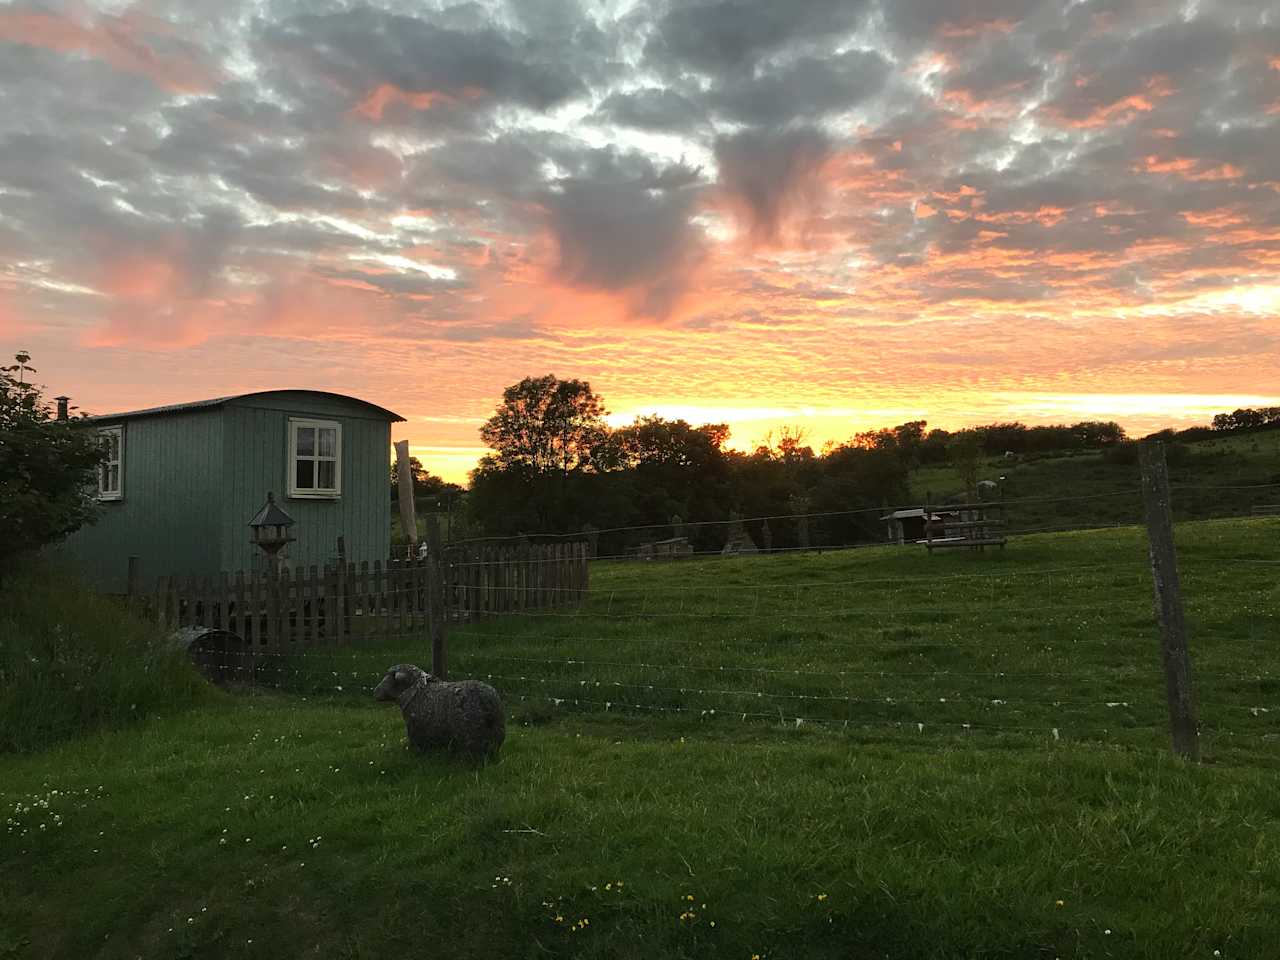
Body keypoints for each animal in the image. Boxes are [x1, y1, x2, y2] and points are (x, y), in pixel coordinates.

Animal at [371, 665, 504, 762]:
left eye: (389, 678)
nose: (375, 692)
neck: (415, 692)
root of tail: (488, 701)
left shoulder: (416, 731)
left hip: (472, 736)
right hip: (496, 734)